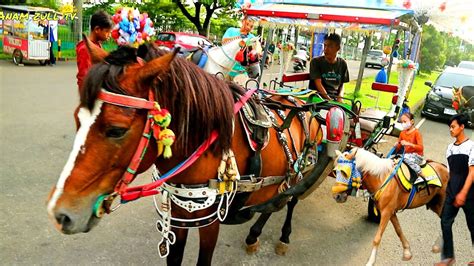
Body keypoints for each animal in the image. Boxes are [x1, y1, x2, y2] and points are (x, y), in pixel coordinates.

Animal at [46, 38, 344, 264]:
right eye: (78, 118)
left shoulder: (210, 219)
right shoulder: (178, 215)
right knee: (274, 202)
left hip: (303, 169)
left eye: (116, 130)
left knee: (291, 200)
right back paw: (254, 233)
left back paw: (282, 236)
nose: (60, 214)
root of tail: (303, 102)